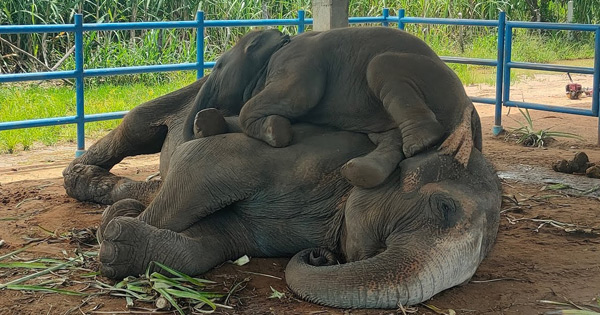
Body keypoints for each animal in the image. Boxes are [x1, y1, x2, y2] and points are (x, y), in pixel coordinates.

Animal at [64, 119, 502, 310]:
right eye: (444, 207)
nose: (321, 255)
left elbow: (219, 238)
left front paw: (120, 238)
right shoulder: (310, 154)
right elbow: (205, 161)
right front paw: (111, 233)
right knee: (136, 128)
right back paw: (84, 181)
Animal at [185, 26, 480, 188]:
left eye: (218, 65)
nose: (188, 134)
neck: (281, 44)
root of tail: (469, 108)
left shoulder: (295, 61)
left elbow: (299, 97)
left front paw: (277, 131)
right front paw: (205, 125)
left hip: (428, 78)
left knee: (380, 67)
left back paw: (420, 143)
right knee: (387, 138)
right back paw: (359, 171)